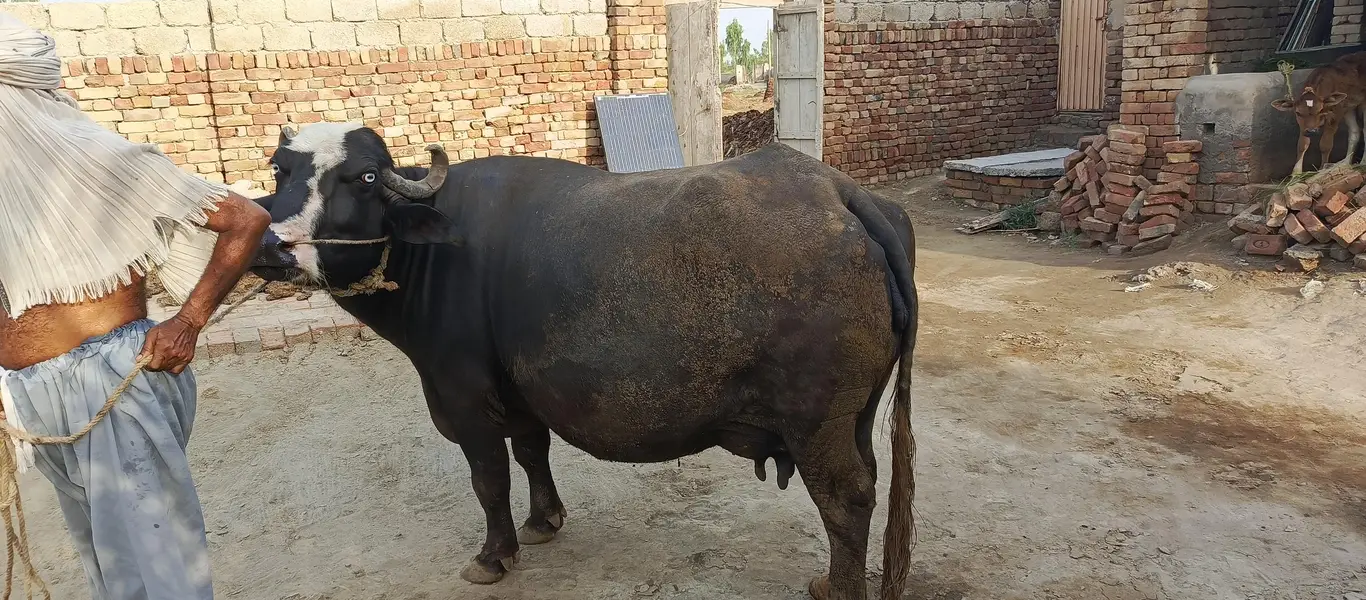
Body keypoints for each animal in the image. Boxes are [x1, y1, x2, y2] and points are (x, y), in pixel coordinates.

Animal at [249, 122, 919, 600]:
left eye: (363, 177)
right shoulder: (518, 393)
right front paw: (543, 521)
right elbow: (531, 452)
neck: (437, 252)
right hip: (856, 416)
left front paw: (493, 555)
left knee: (846, 499)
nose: (273, 246)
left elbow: (489, 479)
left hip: (816, 423)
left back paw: (839, 588)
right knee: (868, 482)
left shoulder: (463, 398)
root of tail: (840, 193)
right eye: (281, 170)